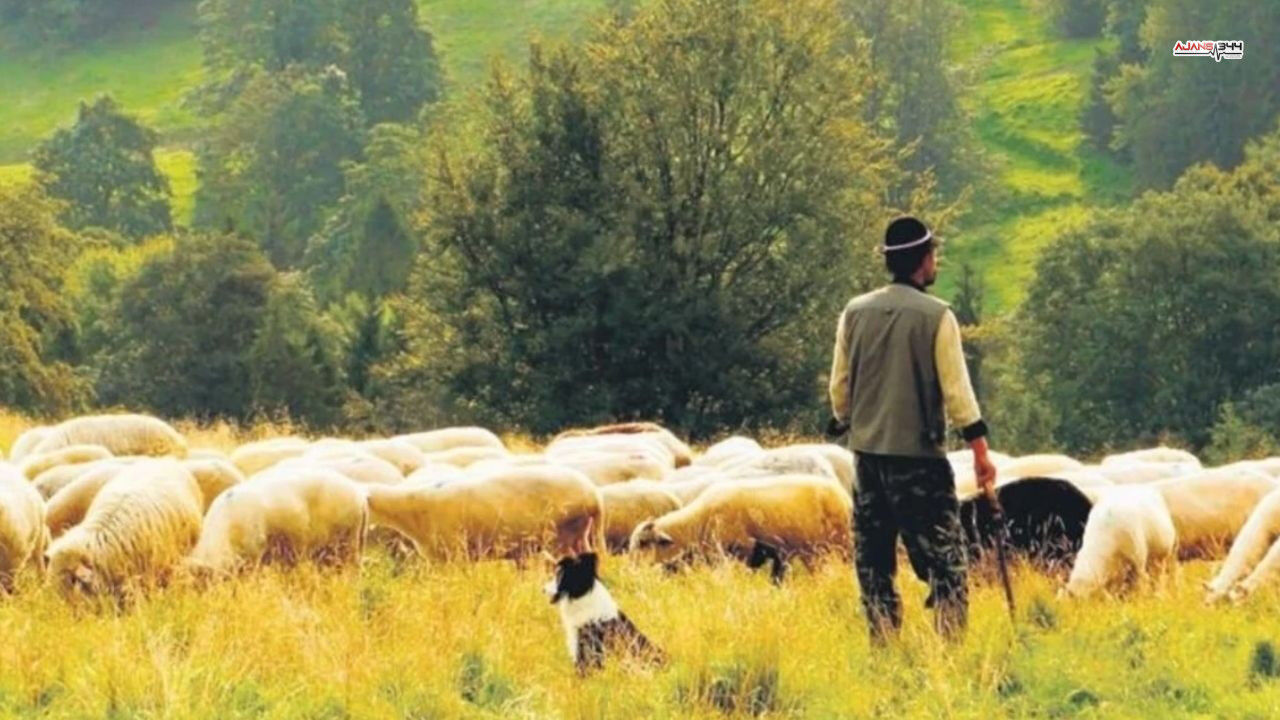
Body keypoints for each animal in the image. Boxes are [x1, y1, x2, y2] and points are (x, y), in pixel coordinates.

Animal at [629, 475, 852, 581]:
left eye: (643, 543)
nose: (631, 570)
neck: (696, 524)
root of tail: (843, 495)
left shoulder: (743, 550)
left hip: (838, 545)